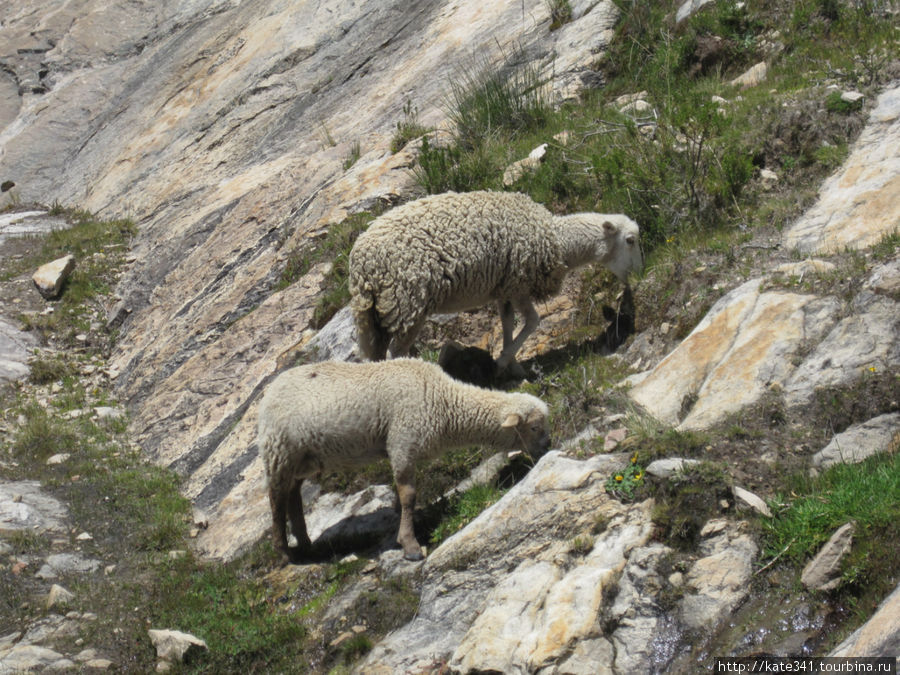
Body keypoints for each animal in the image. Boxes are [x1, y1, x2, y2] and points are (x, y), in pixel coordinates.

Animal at [255, 356, 548, 564]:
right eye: (534, 427)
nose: (547, 448)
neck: (443, 401)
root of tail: (270, 392)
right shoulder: (403, 441)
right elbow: (409, 494)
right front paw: (410, 545)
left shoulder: (400, 446)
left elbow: (402, 495)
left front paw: (400, 520)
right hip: (279, 450)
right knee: (276, 499)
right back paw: (284, 554)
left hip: (302, 458)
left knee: (292, 496)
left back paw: (307, 546)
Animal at [348, 189, 644, 370]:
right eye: (630, 240)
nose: (639, 273)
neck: (559, 241)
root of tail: (361, 263)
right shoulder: (519, 283)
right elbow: (533, 321)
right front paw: (502, 360)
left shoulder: (504, 288)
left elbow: (507, 322)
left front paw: (512, 364)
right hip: (408, 303)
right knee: (397, 351)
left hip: (376, 314)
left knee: (374, 357)